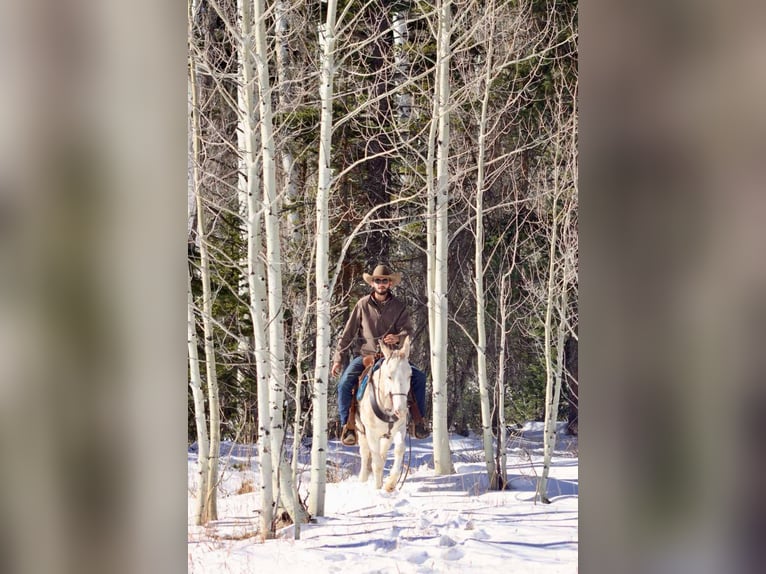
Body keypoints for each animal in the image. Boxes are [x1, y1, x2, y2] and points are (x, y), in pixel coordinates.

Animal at [356, 338, 412, 496]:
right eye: (389, 376)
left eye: (410, 375)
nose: (401, 410)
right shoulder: (371, 434)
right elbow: (376, 463)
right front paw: (377, 488)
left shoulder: (399, 429)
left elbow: (399, 450)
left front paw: (390, 485)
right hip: (360, 430)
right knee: (365, 453)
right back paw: (363, 478)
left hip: (387, 436)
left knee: (383, 454)